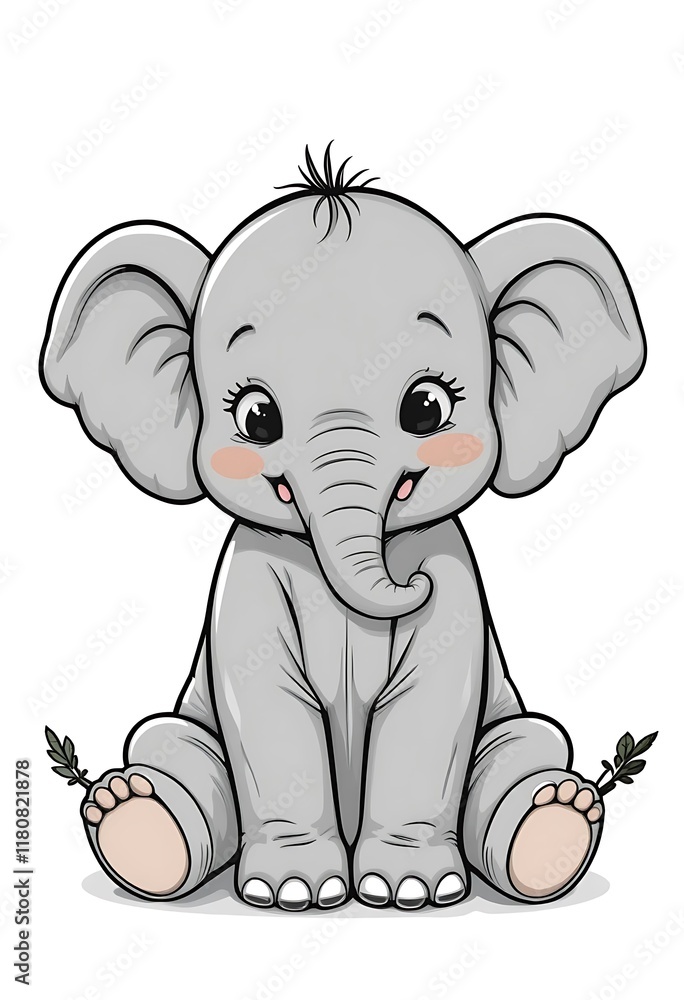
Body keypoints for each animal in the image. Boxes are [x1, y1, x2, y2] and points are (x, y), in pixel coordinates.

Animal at [40, 146, 645, 911]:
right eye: (256, 418)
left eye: (427, 407)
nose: (410, 582)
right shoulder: (251, 577)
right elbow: (267, 705)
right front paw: (295, 894)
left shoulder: (454, 576)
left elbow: (430, 708)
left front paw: (410, 892)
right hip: (183, 734)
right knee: (168, 746)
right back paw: (134, 821)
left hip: (514, 732)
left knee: (528, 748)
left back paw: (553, 825)